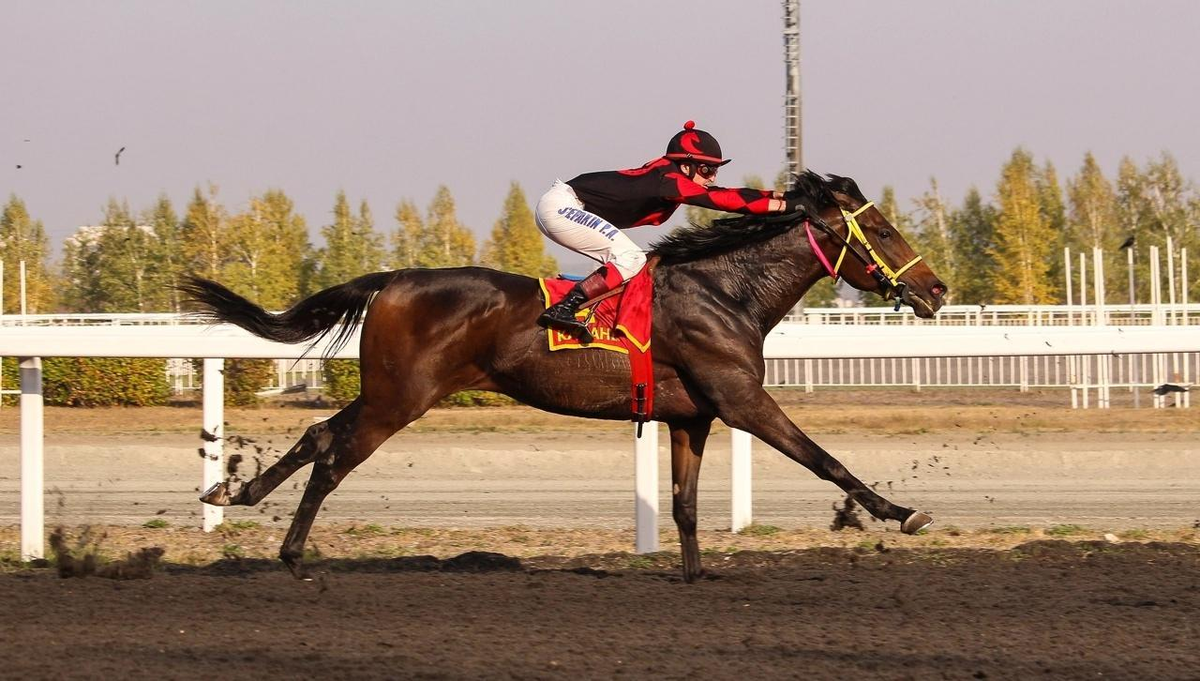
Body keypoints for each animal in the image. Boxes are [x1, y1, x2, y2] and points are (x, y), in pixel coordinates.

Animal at [182, 170, 945, 580]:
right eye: (881, 231)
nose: (935, 289)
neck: (725, 292)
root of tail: (393, 279)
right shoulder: (741, 400)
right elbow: (825, 458)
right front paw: (901, 512)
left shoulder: (692, 416)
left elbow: (684, 504)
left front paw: (695, 574)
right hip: (400, 398)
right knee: (335, 456)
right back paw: (292, 552)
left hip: (388, 391)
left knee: (318, 433)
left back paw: (236, 491)